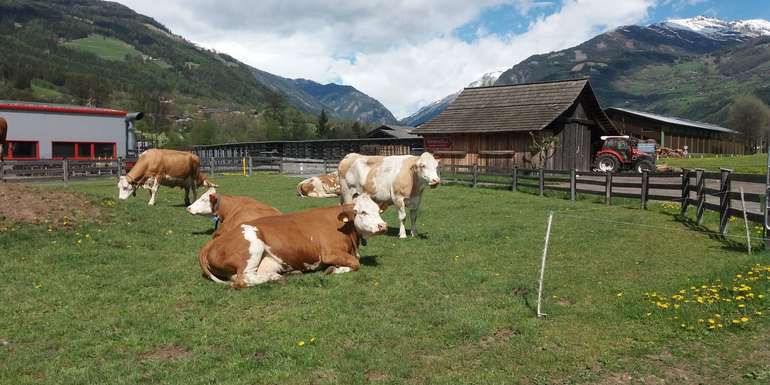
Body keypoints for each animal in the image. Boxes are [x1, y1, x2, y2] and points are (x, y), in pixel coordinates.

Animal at [196, 194, 384, 286]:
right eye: (362, 212)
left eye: (378, 211)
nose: (383, 225)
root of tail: (212, 242)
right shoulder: (330, 253)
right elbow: (355, 263)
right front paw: (333, 269)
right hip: (252, 246)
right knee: (242, 279)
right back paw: (275, 278)